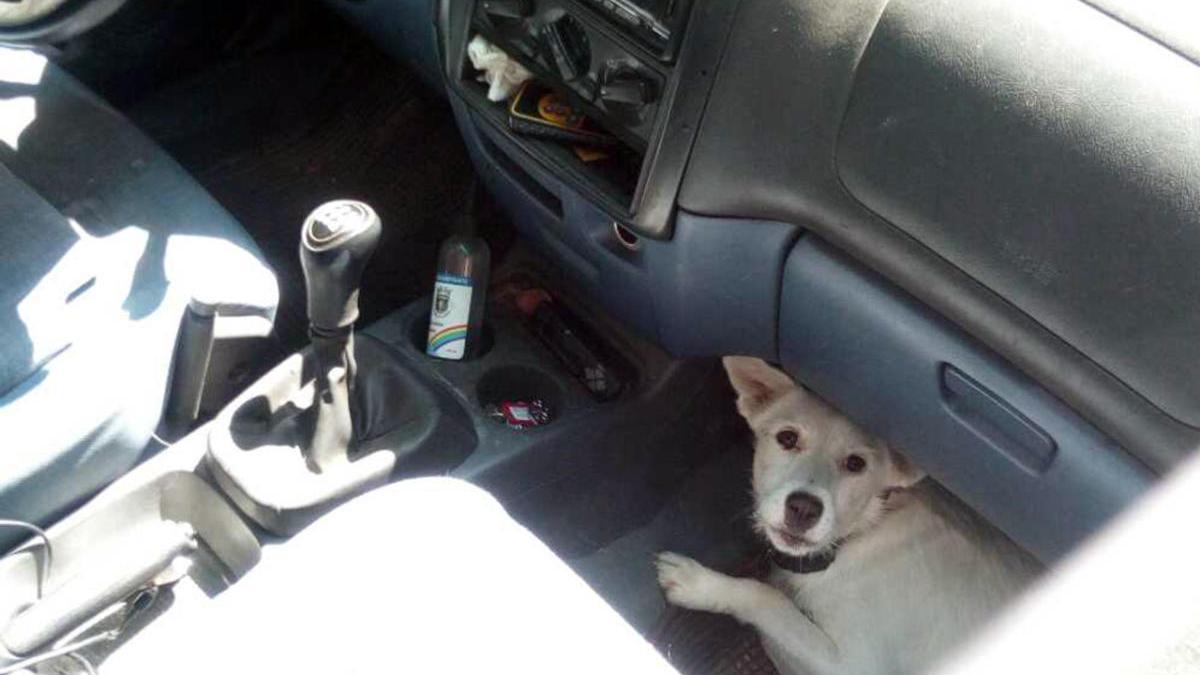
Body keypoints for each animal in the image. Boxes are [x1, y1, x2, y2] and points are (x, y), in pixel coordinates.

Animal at [657, 355, 1041, 667]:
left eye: (856, 464)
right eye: (787, 438)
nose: (803, 508)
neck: (864, 531)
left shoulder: (852, 662)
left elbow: (767, 598)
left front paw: (700, 584)